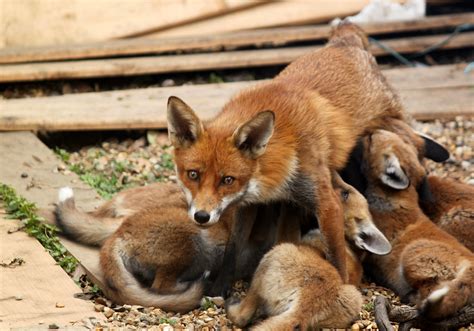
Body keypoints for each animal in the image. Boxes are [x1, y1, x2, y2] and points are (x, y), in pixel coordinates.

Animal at [167, 22, 404, 288]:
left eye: (227, 179)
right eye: (193, 174)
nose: (201, 216)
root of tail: (345, 41)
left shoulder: (327, 203)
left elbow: (337, 260)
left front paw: (342, 289)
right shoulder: (247, 203)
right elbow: (233, 249)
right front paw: (220, 289)